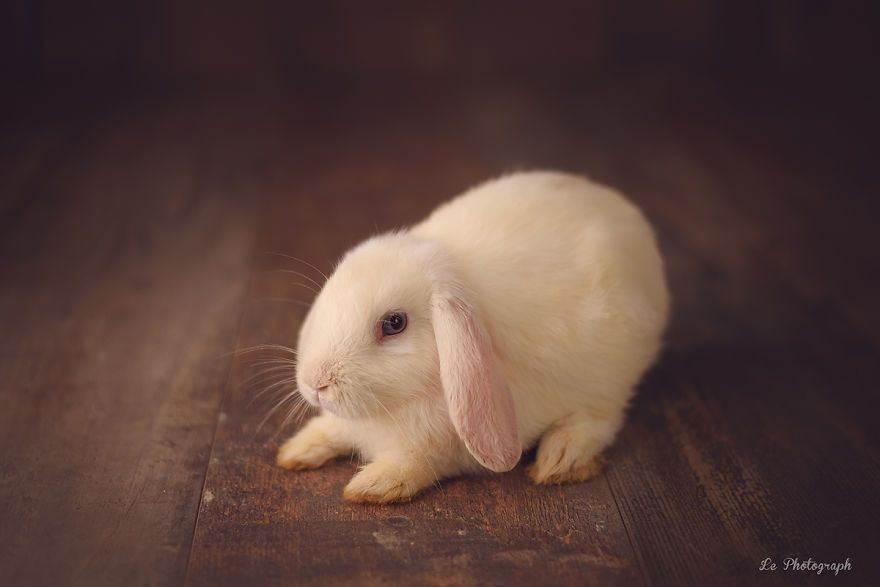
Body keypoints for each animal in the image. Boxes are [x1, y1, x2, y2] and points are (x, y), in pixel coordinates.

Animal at [276, 171, 669, 503]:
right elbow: (332, 430)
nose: (315, 382)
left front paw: (372, 485)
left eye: (394, 324)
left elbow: (416, 463)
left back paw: (559, 458)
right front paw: (297, 450)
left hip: (610, 374)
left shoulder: (442, 448)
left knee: (601, 419)